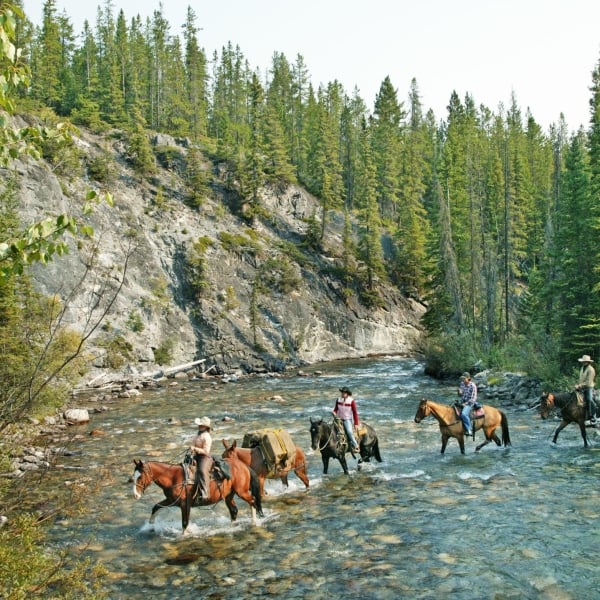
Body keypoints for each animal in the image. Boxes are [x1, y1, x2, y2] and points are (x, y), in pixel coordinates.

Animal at [132, 454, 264, 536]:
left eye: (140, 476)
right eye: (133, 476)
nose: (135, 495)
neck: (173, 478)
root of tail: (244, 466)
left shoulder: (185, 503)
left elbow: (185, 522)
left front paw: (184, 535)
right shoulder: (171, 500)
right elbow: (156, 507)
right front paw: (150, 525)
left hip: (241, 492)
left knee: (252, 501)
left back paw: (254, 522)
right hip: (228, 495)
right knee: (234, 510)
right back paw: (232, 526)